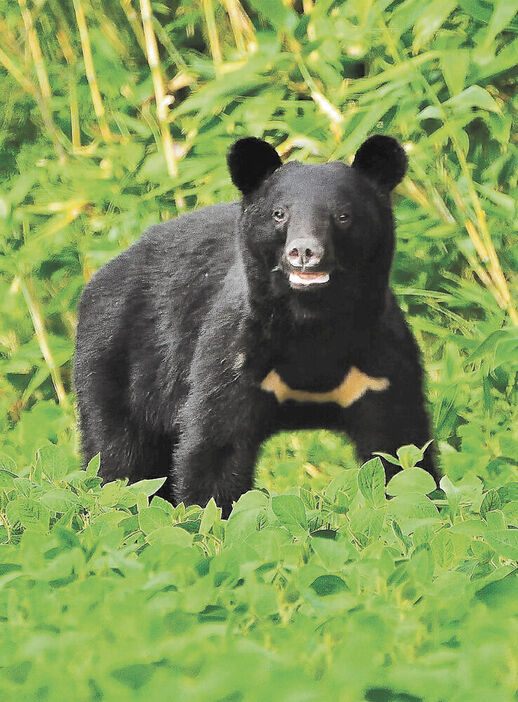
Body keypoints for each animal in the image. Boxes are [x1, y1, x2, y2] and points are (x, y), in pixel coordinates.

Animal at [73, 136, 438, 516]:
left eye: (343, 216)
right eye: (279, 214)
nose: (304, 252)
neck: (311, 323)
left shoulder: (379, 366)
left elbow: (400, 451)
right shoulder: (235, 358)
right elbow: (215, 450)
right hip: (117, 363)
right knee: (119, 459)